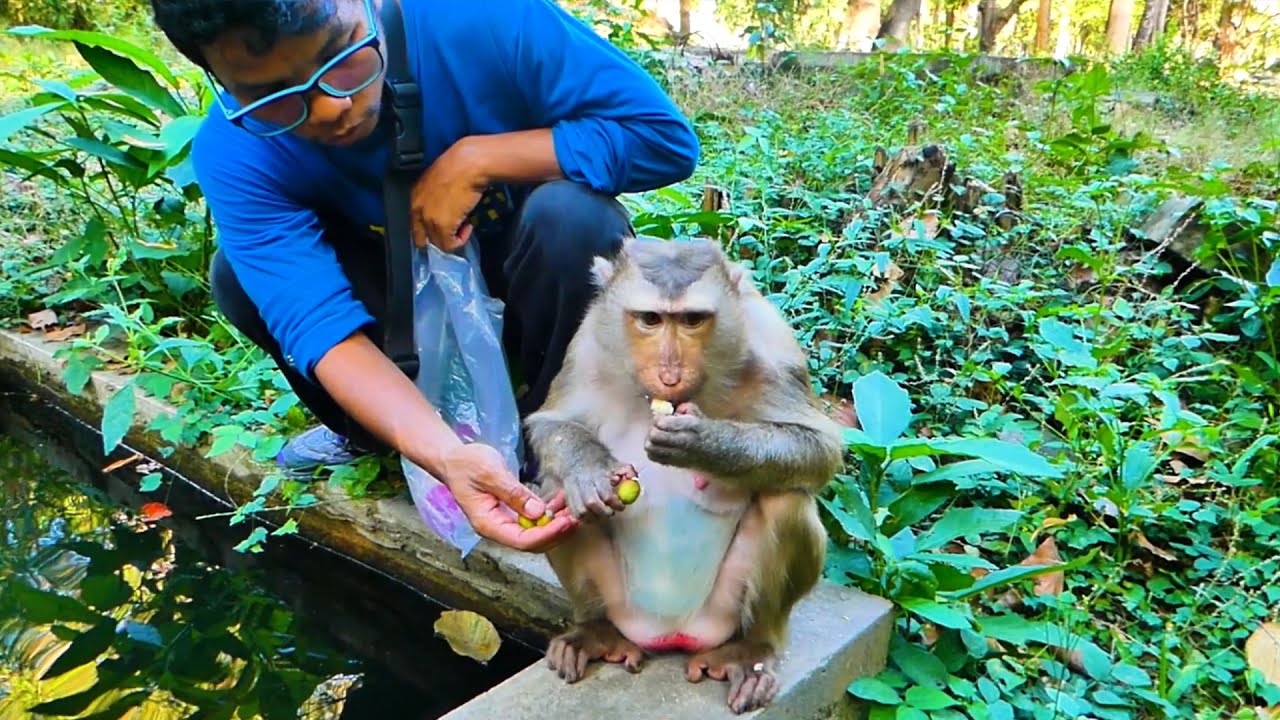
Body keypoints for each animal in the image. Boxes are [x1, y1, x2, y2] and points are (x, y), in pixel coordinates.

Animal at [523, 236, 846, 714]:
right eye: (651, 319)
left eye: (693, 320)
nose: (670, 374)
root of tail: (669, 634)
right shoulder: (585, 343)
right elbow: (552, 423)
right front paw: (589, 471)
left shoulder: (775, 344)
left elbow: (819, 449)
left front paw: (705, 442)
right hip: (621, 603)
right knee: (553, 493)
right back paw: (596, 630)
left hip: (723, 611)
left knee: (786, 500)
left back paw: (751, 651)